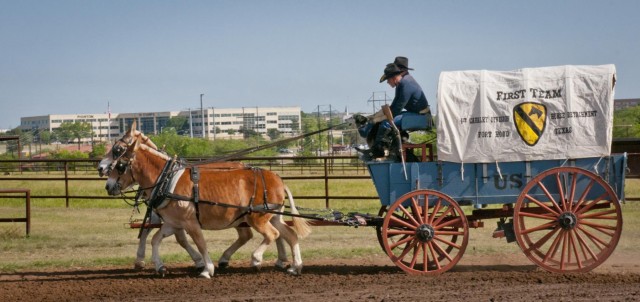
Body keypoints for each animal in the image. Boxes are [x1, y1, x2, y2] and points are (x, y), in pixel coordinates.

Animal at [104, 131, 312, 278]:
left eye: (119, 162)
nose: (108, 185)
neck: (167, 179)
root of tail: (278, 179)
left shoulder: (190, 223)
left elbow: (201, 243)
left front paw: (206, 269)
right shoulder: (173, 222)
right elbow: (156, 239)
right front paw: (160, 266)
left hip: (257, 218)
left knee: (272, 234)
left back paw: (256, 260)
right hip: (273, 216)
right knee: (290, 235)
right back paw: (295, 267)